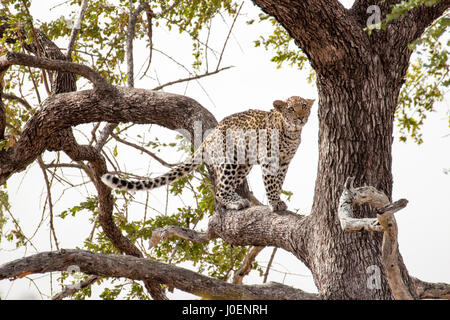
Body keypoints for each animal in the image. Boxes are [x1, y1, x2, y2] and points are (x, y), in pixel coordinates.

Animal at [101, 96, 312, 211]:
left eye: (304, 107)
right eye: (291, 109)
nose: (301, 117)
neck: (292, 133)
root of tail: (211, 135)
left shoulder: (284, 162)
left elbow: (278, 181)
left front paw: (278, 200)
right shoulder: (270, 159)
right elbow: (271, 183)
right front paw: (274, 203)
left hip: (243, 163)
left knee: (223, 187)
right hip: (230, 160)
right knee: (220, 189)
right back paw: (235, 203)